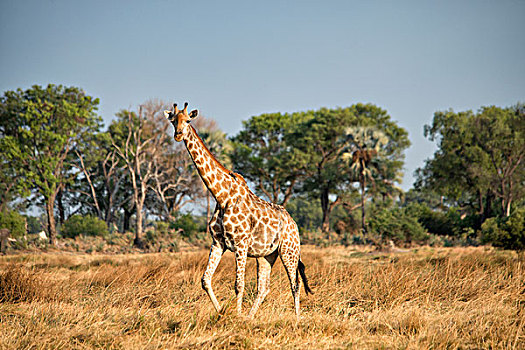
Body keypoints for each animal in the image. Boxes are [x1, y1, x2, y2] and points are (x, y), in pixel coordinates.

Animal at [164, 102, 312, 320]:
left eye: (188, 120)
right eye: (173, 120)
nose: (178, 134)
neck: (221, 196)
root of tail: (294, 224)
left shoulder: (241, 244)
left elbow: (238, 285)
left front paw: (237, 316)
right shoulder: (218, 242)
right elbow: (205, 280)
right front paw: (223, 312)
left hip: (289, 250)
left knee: (295, 284)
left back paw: (297, 318)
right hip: (267, 255)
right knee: (264, 287)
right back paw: (251, 317)